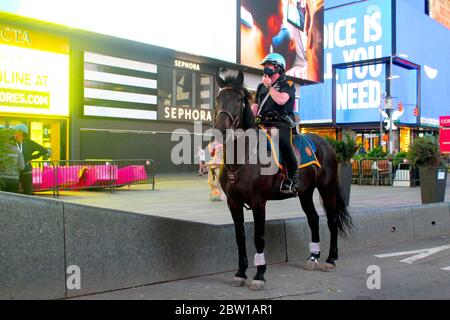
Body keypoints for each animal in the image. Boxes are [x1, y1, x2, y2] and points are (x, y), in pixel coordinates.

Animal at [213, 70, 354, 290]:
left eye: (238, 99)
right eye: (218, 98)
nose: (220, 128)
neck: (242, 158)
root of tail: (326, 143)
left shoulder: (258, 202)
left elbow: (258, 237)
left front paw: (259, 275)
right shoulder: (233, 202)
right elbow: (240, 236)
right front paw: (240, 273)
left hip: (327, 188)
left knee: (332, 219)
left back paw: (330, 259)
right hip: (305, 192)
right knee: (313, 219)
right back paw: (313, 257)